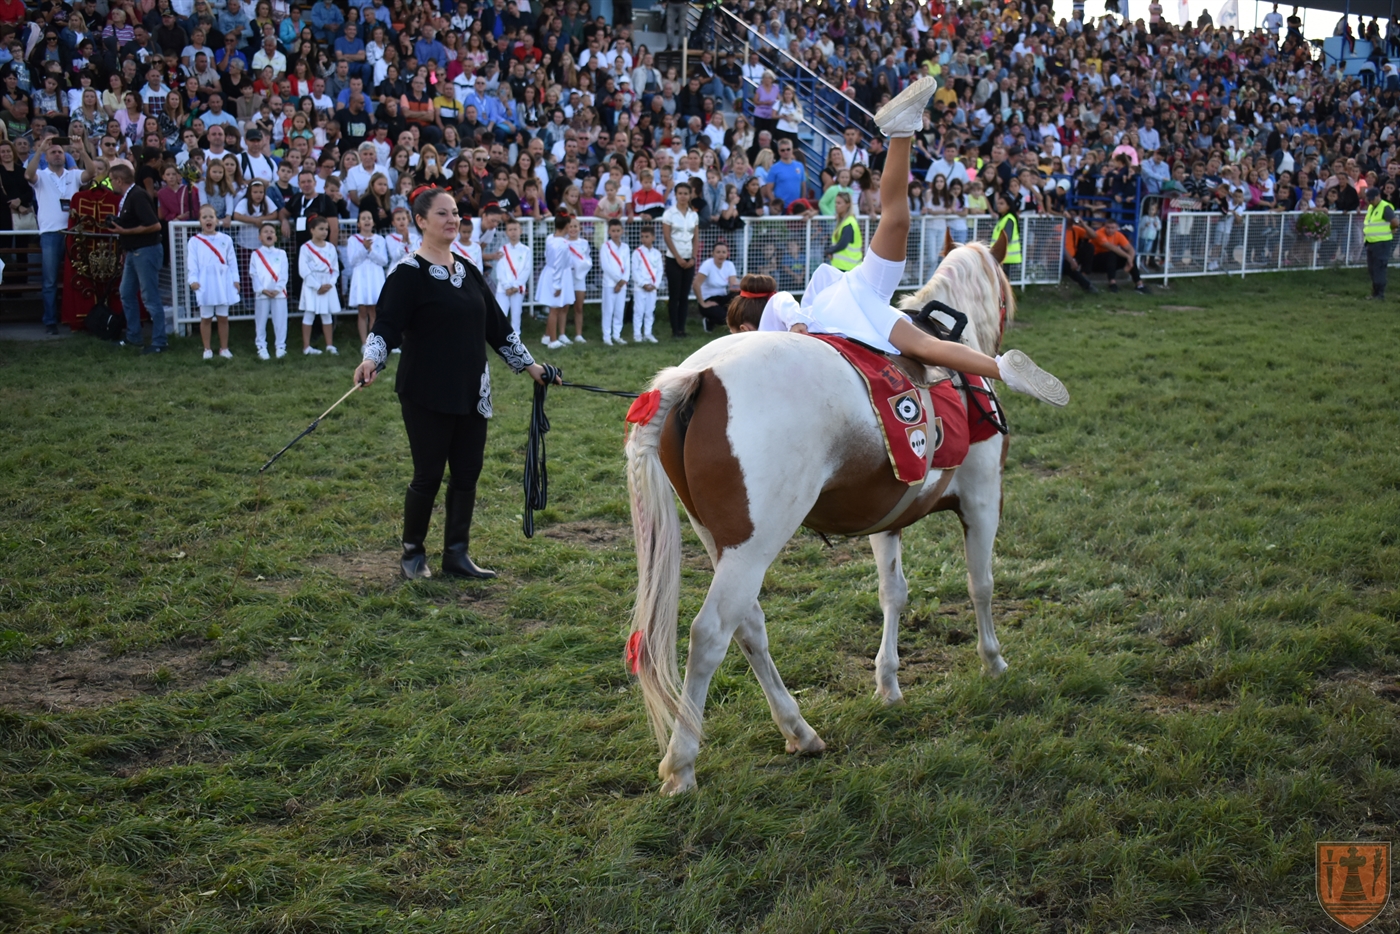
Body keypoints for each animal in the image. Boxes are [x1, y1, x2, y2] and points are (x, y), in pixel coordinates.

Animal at [624, 239, 1019, 795]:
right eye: (1006, 293)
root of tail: (699, 377)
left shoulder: (887, 520)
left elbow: (893, 594)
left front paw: (888, 683)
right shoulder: (983, 498)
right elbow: (980, 584)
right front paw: (993, 661)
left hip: (725, 543)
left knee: (749, 627)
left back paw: (799, 730)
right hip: (752, 548)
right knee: (710, 634)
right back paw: (682, 763)